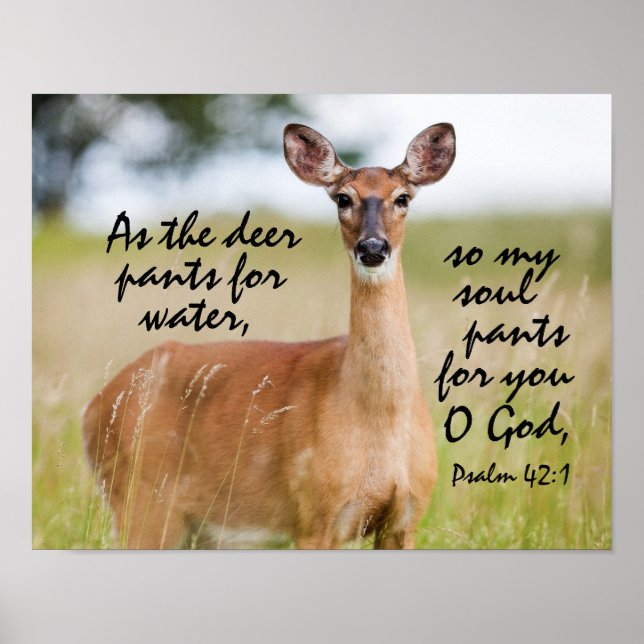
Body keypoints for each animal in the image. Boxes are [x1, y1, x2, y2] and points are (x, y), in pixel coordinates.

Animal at [82, 122, 456, 549]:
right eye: (343, 198)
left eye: (403, 198)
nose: (373, 247)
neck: (379, 420)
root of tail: (92, 407)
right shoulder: (314, 515)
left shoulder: (406, 517)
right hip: (142, 503)